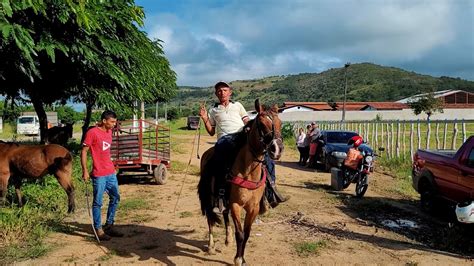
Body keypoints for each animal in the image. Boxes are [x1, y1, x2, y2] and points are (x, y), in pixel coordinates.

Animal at [198, 99, 284, 264]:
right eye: (261, 123)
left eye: (280, 123)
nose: (277, 149)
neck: (248, 172)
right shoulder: (236, 205)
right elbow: (240, 234)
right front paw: (238, 259)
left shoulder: (253, 208)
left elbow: (247, 233)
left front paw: (242, 258)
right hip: (209, 197)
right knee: (210, 218)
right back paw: (211, 246)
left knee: (224, 214)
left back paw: (228, 239)